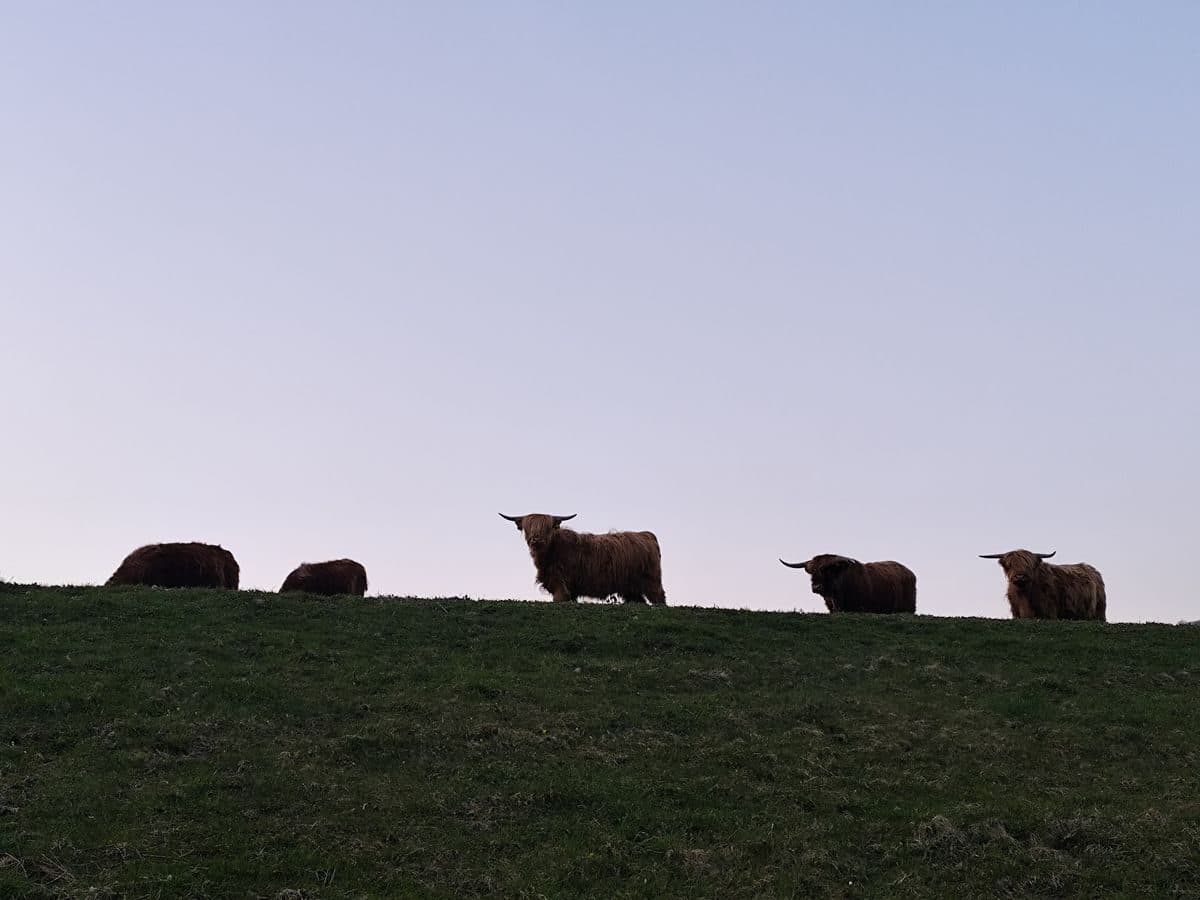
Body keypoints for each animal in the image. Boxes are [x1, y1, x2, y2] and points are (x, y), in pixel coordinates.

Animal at [498, 513, 666, 605]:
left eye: (546, 527)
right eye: (529, 527)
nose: (536, 539)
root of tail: (646, 534)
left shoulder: (561, 585)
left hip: (652, 581)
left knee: (659, 598)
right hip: (631, 588)